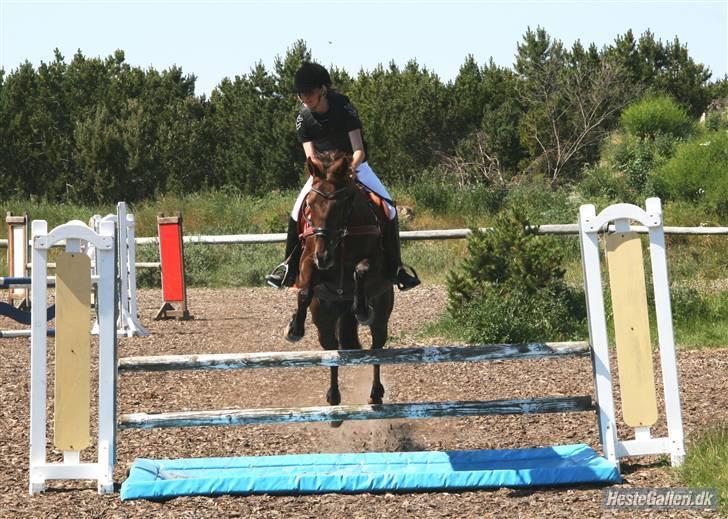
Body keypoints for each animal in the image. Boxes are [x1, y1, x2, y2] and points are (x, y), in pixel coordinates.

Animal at [288, 151, 396, 414]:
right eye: (309, 205)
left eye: (342, 206)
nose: (324, 257)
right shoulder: (309, 260)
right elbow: (304, 290)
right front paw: (295, 328)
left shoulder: (377, 264)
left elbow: (361, 269)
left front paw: (361, 308)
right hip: (323, 318)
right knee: (331, 350)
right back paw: (334, 398)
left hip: (382, 313)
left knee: (377, 348)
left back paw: (375, 394)